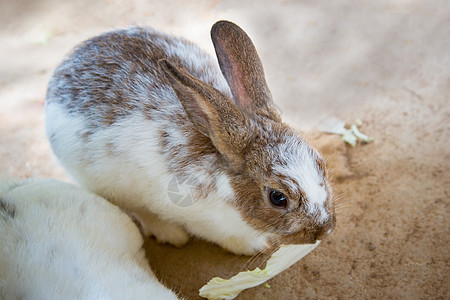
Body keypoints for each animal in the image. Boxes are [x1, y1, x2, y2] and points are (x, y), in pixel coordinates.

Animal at [44, 20, 334, 255]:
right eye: (278, 198)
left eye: (320, 163)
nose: (325, 230)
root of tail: (65, 65)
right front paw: (255, 246)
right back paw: (170, 233)